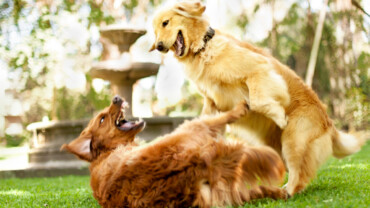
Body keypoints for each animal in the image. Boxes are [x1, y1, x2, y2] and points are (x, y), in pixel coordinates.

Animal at [61, 96, 286, 208]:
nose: (116, 97)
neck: (108, 152)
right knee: (220, 118)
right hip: (193, 128)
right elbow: (222, 117)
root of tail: (192, 164)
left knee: (254, 190)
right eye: (102, 119)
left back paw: (281, 192)